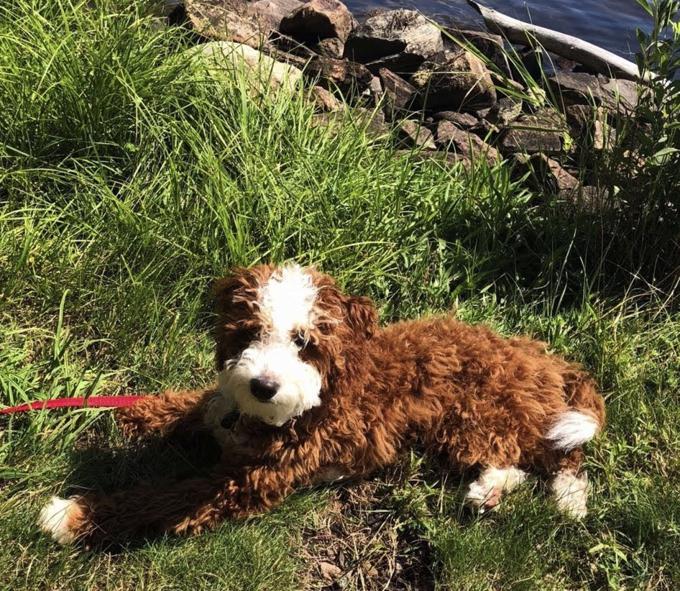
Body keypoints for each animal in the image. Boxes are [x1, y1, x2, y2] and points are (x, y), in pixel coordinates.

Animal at [37, 264, 604, 544]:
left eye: (304, 342)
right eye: (249, 332)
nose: (263, 386)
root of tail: (546, 358)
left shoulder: (246, 481)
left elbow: (165, 498)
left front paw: (73, 515)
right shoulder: (222, 408)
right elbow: (193, 408)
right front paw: (132, 412)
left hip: (477, 415)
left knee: (548, 457)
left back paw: (547, 499)